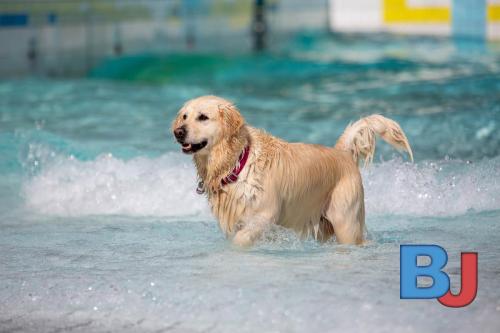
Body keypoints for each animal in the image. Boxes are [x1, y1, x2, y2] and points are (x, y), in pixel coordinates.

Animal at [173, 94, 414, 245]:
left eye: (203, 117)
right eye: (184, 116)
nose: (178, 132)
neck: (237, 162)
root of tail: (342, 153)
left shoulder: (264, 215)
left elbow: (242, 239)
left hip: (346, 220)